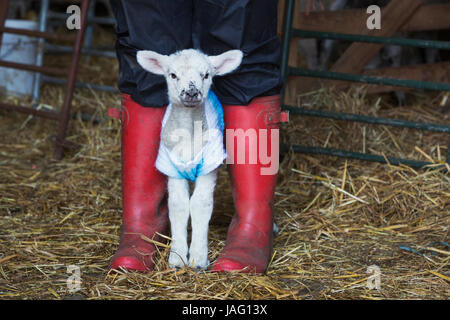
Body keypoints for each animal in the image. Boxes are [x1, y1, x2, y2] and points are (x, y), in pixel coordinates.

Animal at [136, 48, 243, 270]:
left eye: (207, 75)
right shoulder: (171, 167)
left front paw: (198, 258)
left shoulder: (209, 165)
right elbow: (179, 205)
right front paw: (177, 257)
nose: (192, 92)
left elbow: (199, 204)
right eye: (172, 75)